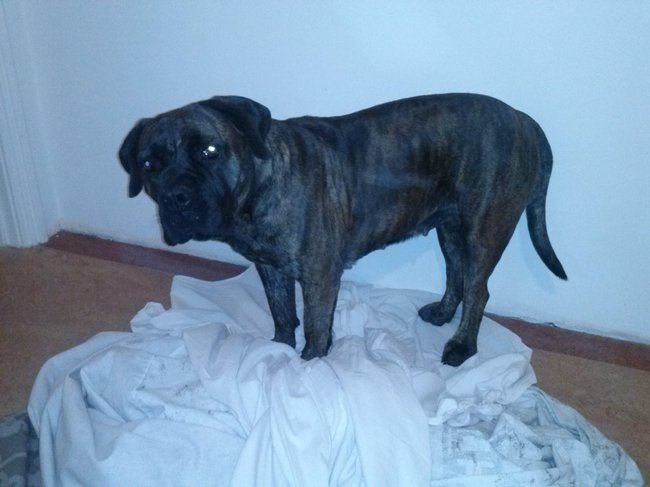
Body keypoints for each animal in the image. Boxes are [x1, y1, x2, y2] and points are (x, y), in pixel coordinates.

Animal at [119, 93, 567, 366]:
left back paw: (462, 346)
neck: (259, 188)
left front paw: (308, 364)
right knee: (455, 276)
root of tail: (523, 119)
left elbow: (316, 327)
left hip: (482, 231)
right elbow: (283, 315)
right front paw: (277, 353)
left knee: (479, 290)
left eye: (209, 150)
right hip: (450, 231)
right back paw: (441, 313)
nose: (177, 197)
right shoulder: (272, 269)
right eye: (149, 164)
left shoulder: (319, 276)